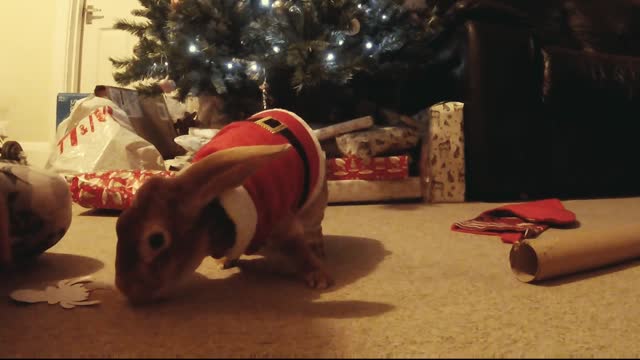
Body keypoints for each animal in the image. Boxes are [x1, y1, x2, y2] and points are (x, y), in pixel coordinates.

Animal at [115, 109, 332, 304]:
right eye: (119, 224)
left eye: (156, 240)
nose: (124, 289)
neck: (215, 215)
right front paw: (223, 263)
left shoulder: (281, 223)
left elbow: (297, 248)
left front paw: (319, 277)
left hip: (314, 201)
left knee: (313, 226)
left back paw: (318, 248)